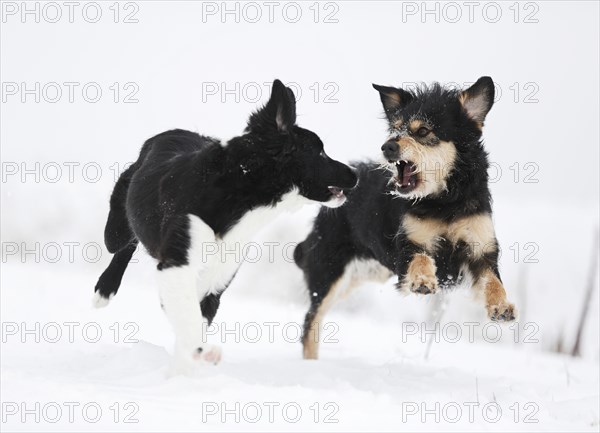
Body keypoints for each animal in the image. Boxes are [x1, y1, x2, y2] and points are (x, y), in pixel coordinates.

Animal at [93, 80, 356, 368]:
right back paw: (104, 290)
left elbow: (192, 318)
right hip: (115, 228)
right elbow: (188, 316)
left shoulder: (216, 278)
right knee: (123, 243)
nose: (355, 174)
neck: (240, 195)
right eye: (320, 151)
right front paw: (201, 352)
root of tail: (169, 132)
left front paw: (187, 365)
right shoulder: (177, 263)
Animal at [294, 77, 516, 358]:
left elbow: (493, 281)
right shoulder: (409, 244)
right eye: (396, 128)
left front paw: (502, 306)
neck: (444, 201)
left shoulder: (481, 248)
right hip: (328, 273)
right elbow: (421, 259)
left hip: (362, 273)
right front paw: (423, 280)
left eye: (423, 131)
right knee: (311, 322)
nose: (388, 146)